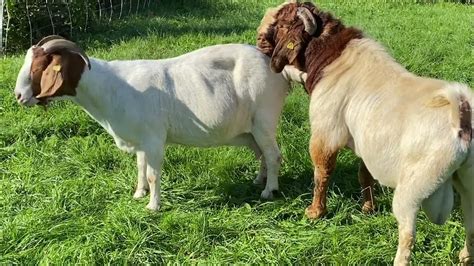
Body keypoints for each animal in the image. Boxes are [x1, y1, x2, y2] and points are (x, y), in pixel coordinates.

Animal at [14, 36, 306, 212]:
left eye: (40, 67)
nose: (18, 96)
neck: (111, 88)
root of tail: (278, 68)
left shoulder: (154, 138)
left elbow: (154, 174)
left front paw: (153, 207)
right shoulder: (142, 140)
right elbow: (141, 168)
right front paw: (139, 193)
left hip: (264, 119)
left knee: (273, 154)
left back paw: (268, 191)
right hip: (249, 129)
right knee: (262, 155)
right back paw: (259, 180)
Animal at [260, 1, 474, 264]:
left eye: (281, 25)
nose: (259, 39)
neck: (333, 58)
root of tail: (461, 112)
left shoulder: (325, 132)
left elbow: (321, 173)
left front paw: (315, 212)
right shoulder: (366, 142)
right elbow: (365, 175)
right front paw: (368, 208)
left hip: (414, 188)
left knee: (408, 235)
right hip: (468, 183)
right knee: (471, 226)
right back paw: (464, 257)